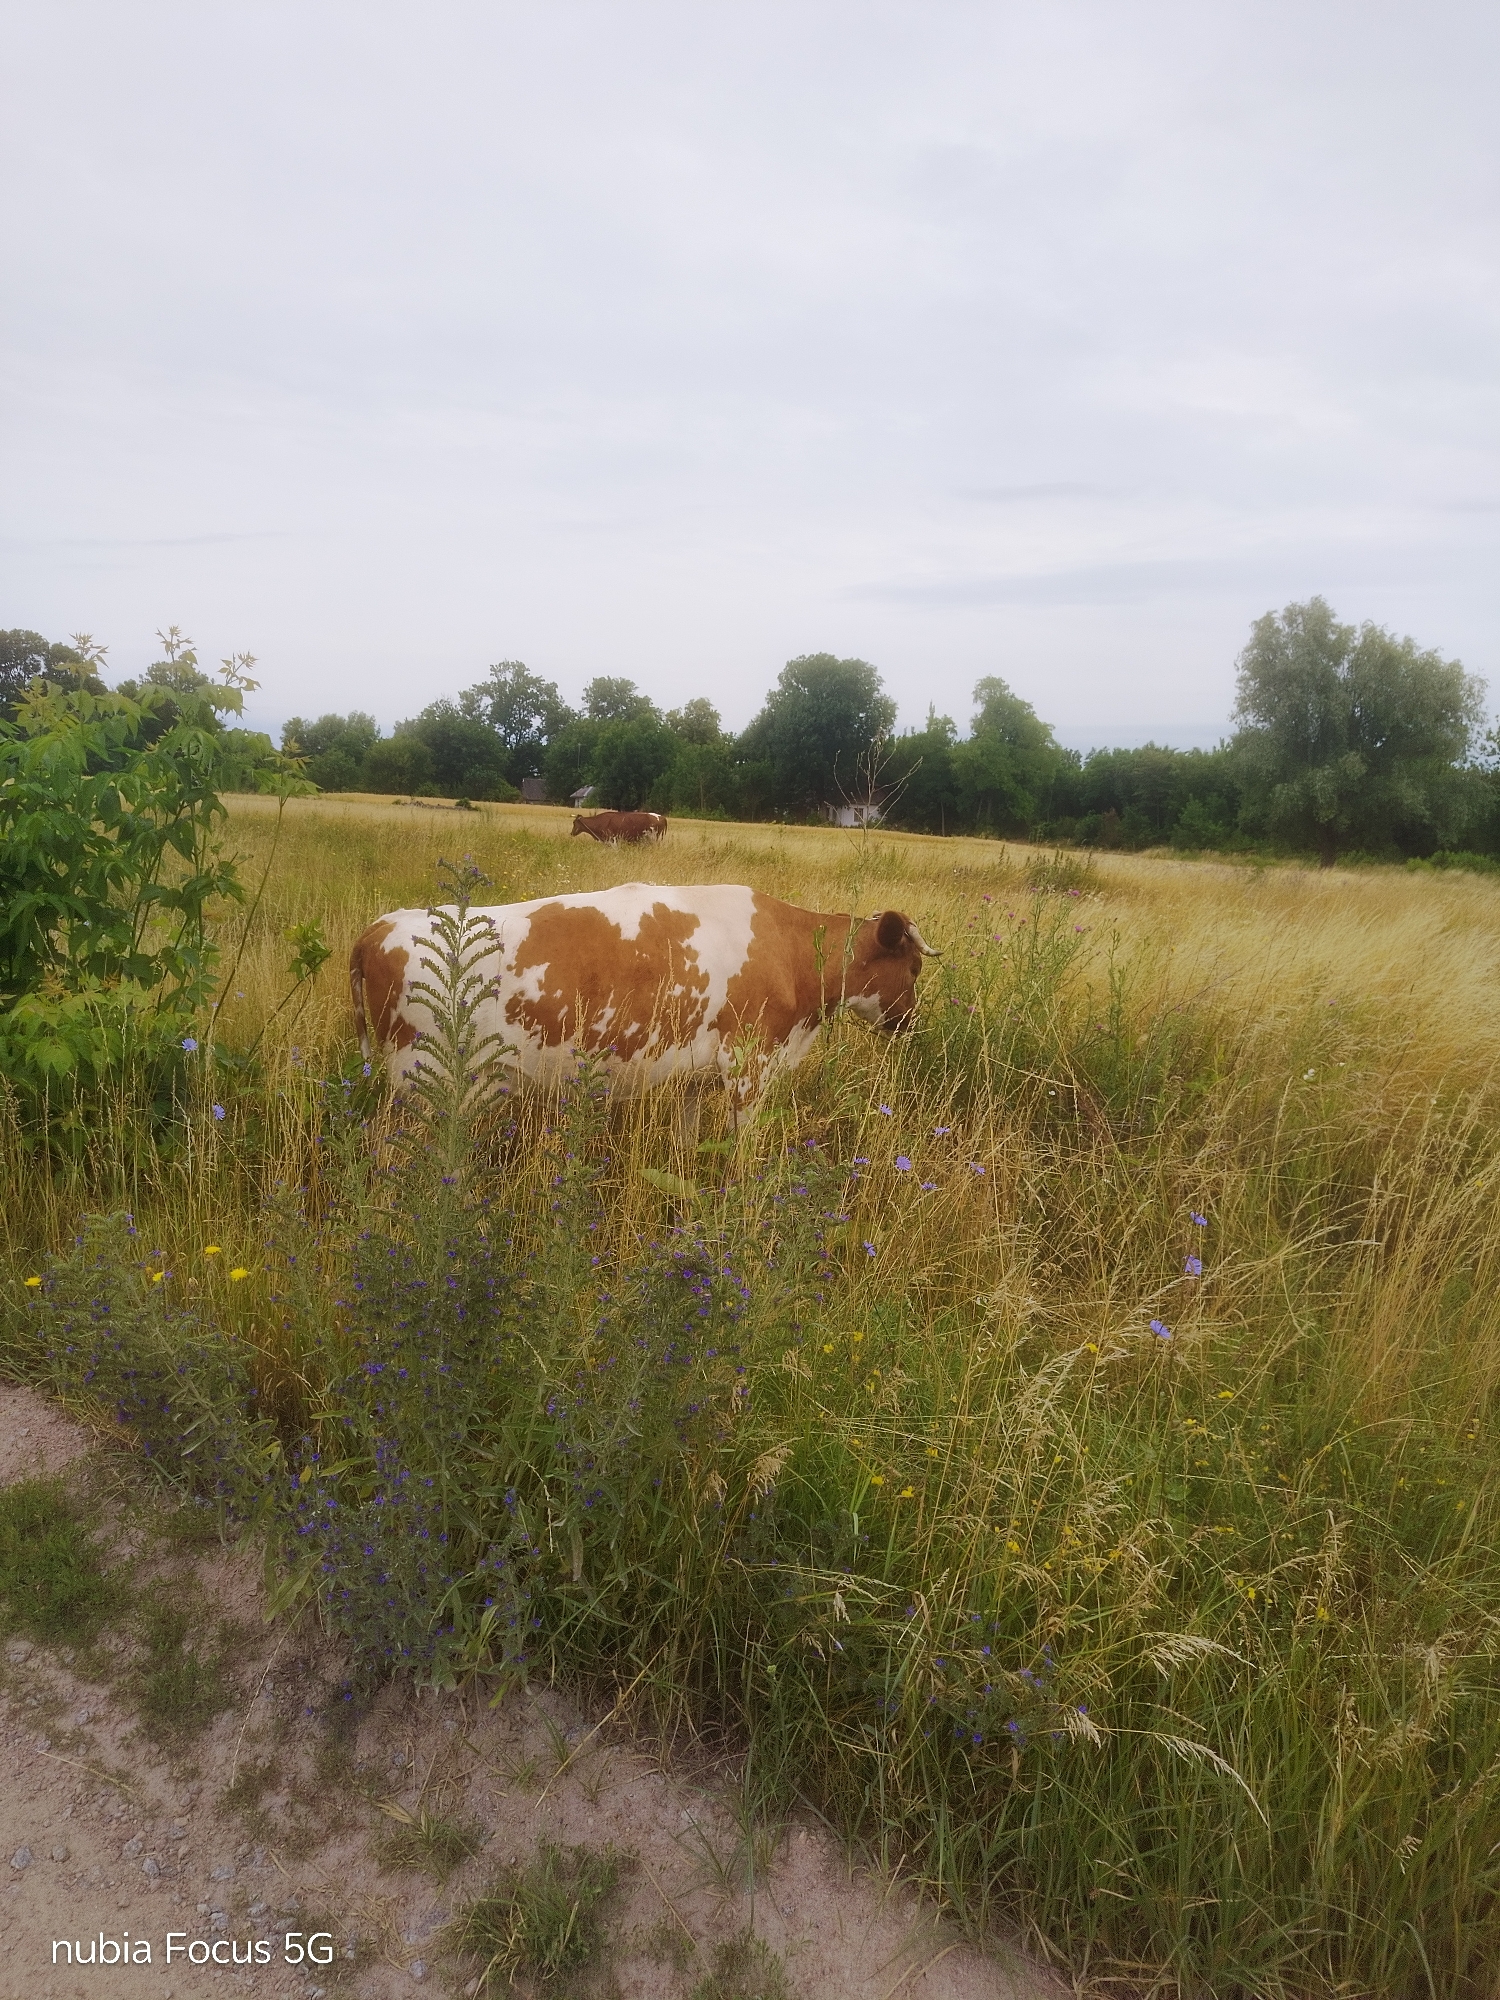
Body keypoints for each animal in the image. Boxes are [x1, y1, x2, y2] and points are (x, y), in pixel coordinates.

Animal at [350, 882, 938, 1114]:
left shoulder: (697, 1078)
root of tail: (379, 928)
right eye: (912, 967)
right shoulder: (748, 1069)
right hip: (419, 1084)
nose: (911, 1023)